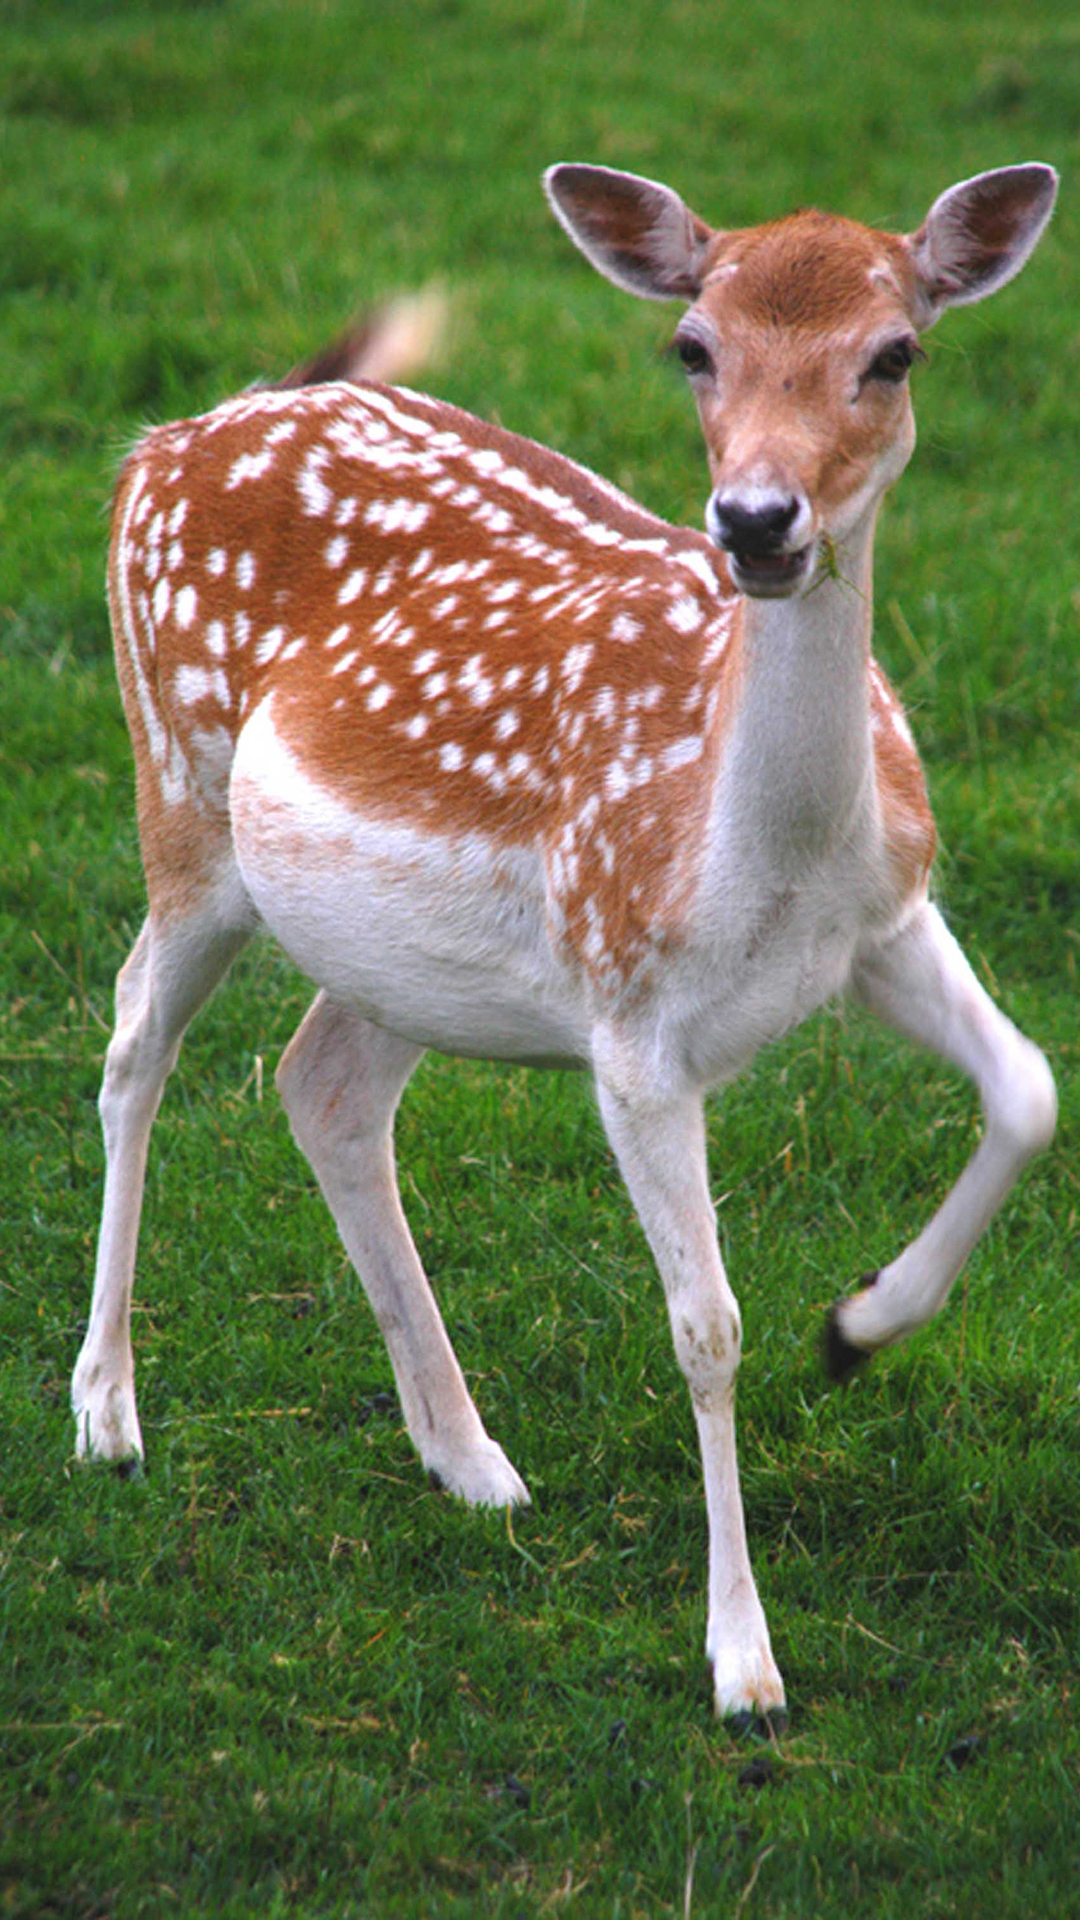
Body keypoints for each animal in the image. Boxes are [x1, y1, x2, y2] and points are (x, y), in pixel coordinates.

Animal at [71, 157, 1053, 1735]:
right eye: (692, 347)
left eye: (895, 352)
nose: (757, 519)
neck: (762, 856)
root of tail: (172, 434)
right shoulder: (629, 1025)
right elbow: (705, 1324)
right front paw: (744, 1663)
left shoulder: (890, 922)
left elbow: (1029, 1089)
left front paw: (858, 1326)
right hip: (181, 799)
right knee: (128, 1043)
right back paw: (107, 1411)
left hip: (386, 953)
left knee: (319, 1083)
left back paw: (468, 1457)